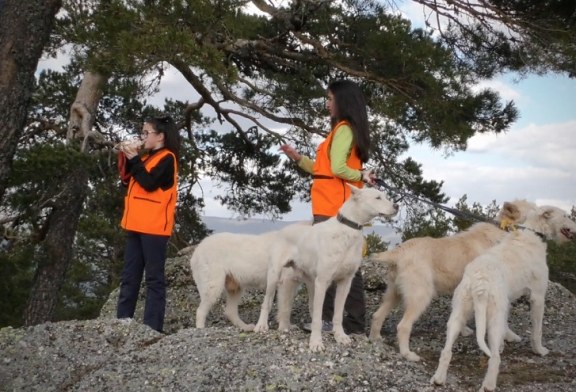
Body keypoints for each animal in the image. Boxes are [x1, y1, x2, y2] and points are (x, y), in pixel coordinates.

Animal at [254, 186, 398, 352]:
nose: (396, 206)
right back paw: (261, 325)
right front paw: (316, 342)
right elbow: (318, 318)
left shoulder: (345, 283)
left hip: (310, 282)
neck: (347, 229)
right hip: (274, 276)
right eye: (377, 198)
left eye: (385, 196)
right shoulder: (323, 282)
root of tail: (282, 230)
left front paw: (340, 336)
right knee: (267, 302)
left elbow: (337, 315)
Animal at [368, 201, 536, 360]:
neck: (503, 231)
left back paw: (375, 338)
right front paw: (509, 336)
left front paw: (463, 330)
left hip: (394, 293)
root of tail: (399, 250)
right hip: (420, 296)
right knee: (403, 326)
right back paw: (407, 354)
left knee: (377, 315)